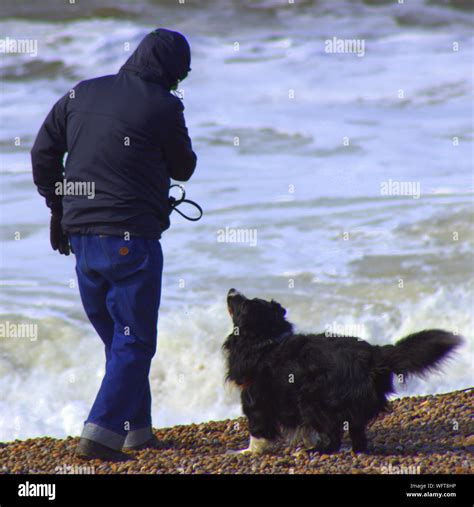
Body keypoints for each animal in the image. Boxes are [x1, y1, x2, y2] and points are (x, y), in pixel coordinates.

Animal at [223, 290, 462, 456]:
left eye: (242, 303)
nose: (231, 290)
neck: (264, 338)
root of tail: (374, 354)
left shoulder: (255, 399)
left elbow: (257, 431)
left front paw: (246, 452)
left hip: (312, 398)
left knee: (334, 436)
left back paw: (317, 451)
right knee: (357, 435)